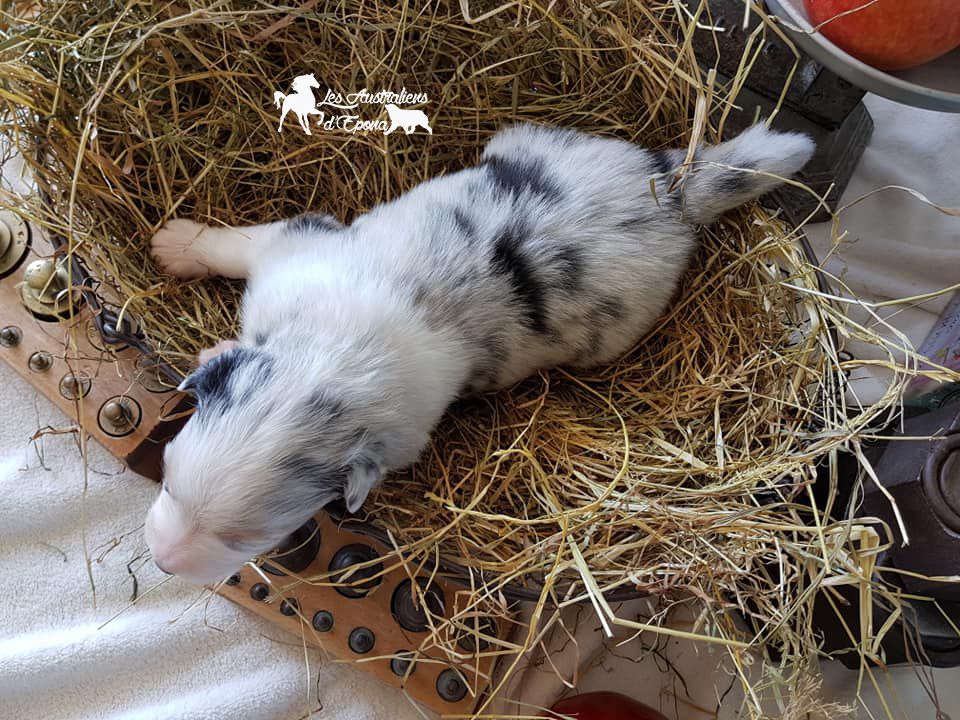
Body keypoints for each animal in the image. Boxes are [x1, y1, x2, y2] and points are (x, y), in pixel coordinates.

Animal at [144, 122, 814, 583]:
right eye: (168, 479)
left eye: (247, 539)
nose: (160, 560)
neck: (336, 357)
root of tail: (671, 189)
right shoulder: (293, 247)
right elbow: (239, 244)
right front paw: (177, 245)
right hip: (535, 139)